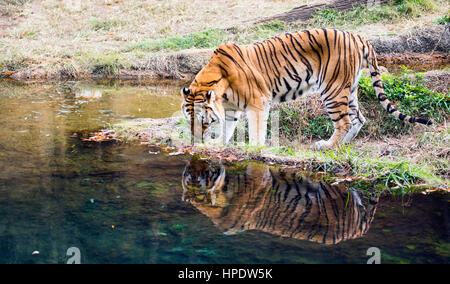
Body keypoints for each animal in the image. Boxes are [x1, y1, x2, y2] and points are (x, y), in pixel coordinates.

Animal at [180, 28, 432, 150]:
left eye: (203, 121)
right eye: (188, 120)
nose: (196, 139)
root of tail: (357, 36)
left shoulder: (258, 102)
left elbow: (256, 130)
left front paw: (253, 148)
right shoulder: (231, 109)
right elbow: (227, 127)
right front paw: (218, 143)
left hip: (333, 89)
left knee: (344, 121)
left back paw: (328, 146)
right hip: (349, 89)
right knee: (359, 118)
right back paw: (343, 145)